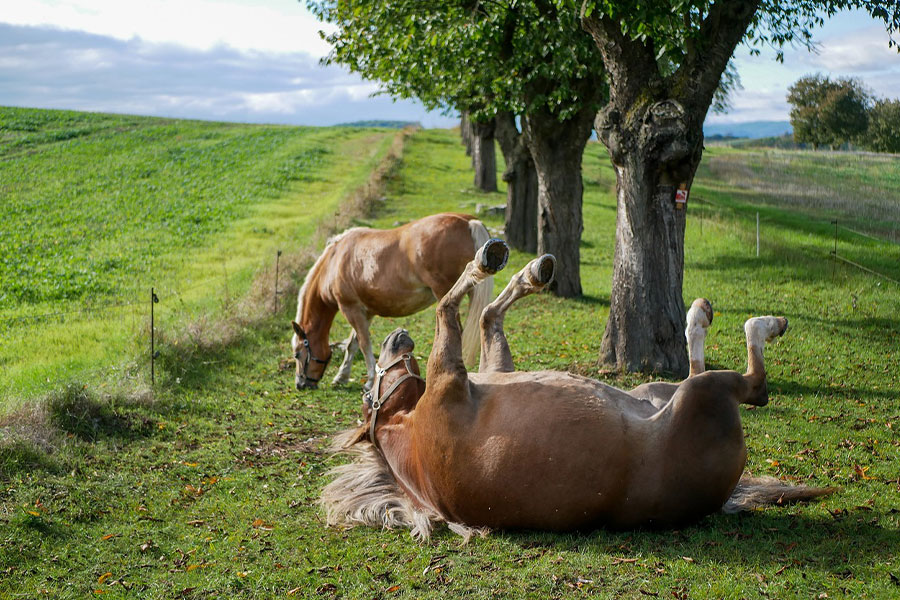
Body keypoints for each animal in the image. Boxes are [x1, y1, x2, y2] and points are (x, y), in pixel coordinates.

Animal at [290, 213, 493, 390]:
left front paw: (369, 381)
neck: (335, 260)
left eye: (297, 354)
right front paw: (341, 377)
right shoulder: (364, 312)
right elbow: (352, 344)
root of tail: (468, 222)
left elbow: (364, 344)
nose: (301, 384)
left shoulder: (350, 308)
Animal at [321, 240, 833, 538]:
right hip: (701, 398)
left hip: (656, 390)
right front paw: (486, 260)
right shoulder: (449, 376)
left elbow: (487, 317)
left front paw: (529, 271)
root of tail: (720, 497)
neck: (412, 440)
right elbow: (448, 307)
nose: (393, 338)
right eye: (368, 390)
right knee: (753, 384)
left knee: (692, 365)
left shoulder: (487, 371)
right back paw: (760, 325)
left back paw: (697, 316)